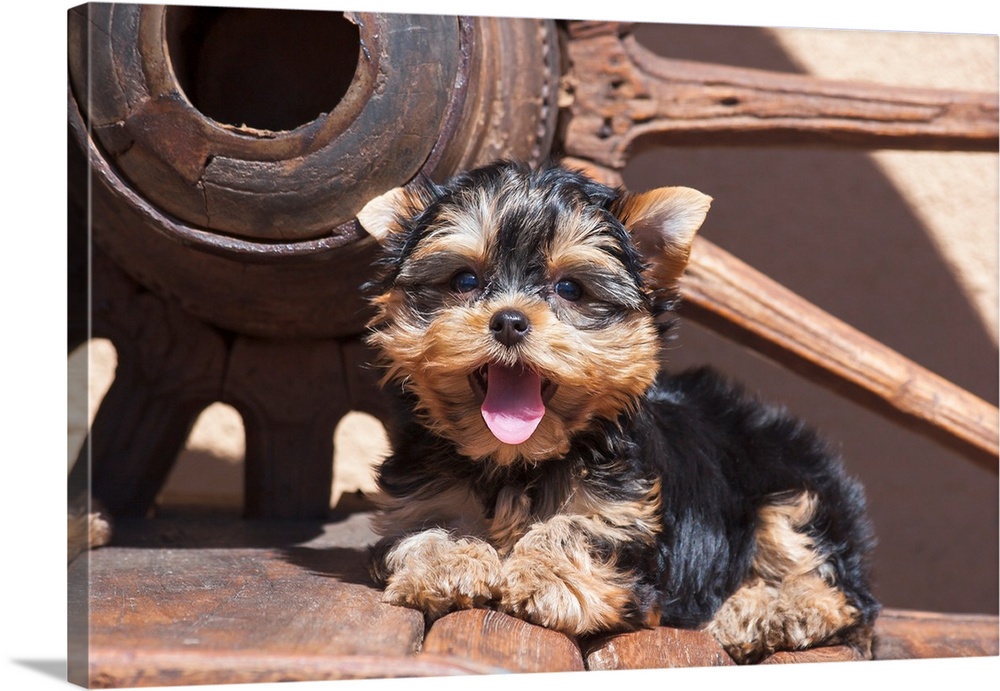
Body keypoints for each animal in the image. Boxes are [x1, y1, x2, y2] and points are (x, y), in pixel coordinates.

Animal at [358, 159, 876, 664]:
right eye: (464, 281)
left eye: (570, 288)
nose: (508, 320)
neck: (515, 460)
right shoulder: (417, 498)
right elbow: (425, 528)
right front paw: (449, 562)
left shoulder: (630, 519)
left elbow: (578, 528)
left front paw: (547, 576)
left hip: (791, 484)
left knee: (840, 589)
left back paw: (772, 610)